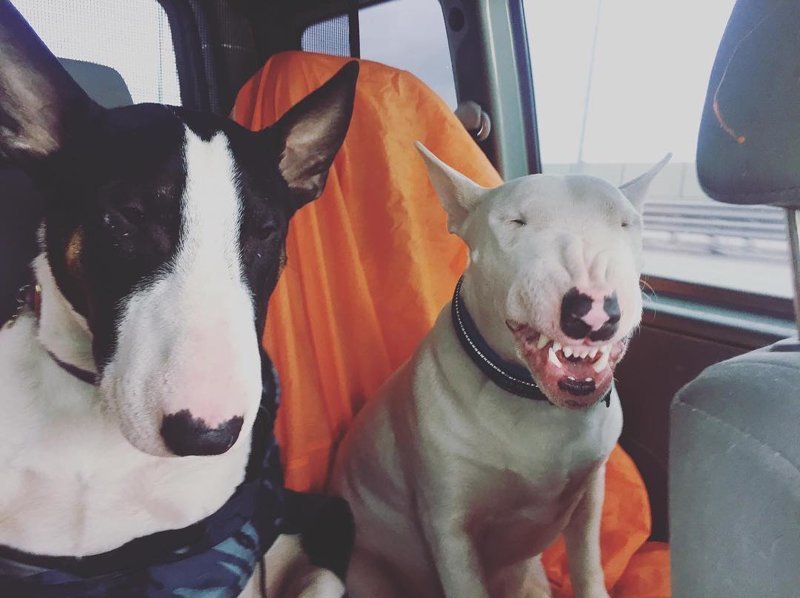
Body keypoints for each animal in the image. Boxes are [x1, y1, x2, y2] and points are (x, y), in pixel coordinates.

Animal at [332, 146, 668, 598]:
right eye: (516, 222)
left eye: (625, 223)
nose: (593, 307)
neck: (533, 402)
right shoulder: (449, 526)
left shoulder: (590, 494)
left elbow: (587, 565)